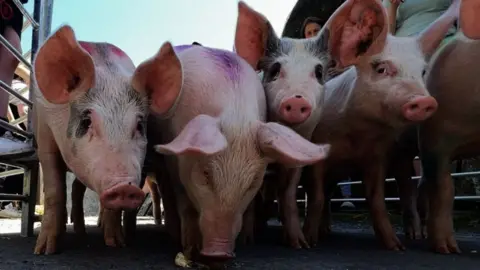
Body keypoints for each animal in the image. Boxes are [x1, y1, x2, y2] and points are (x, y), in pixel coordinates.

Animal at [132, 34, 330, 260]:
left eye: (253, 182)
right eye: (205, 174)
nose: (219, 252)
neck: (235, 116)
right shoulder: (174, 162)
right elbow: (184, 203)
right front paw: (190, 248)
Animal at [300, 0, 462, 249]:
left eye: (422, 71)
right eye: (381, 69)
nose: (425, 101)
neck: (357, 134)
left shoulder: (377, 157)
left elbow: (376, 200)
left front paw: (396, 247)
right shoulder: (318, 151)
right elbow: (316, 197)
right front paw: (309, 242)